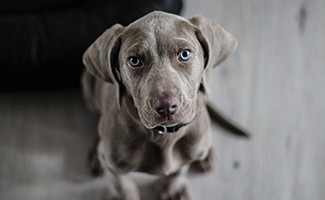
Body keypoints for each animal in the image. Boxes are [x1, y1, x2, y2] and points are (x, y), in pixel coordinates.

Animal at [82, 10, 247, 200]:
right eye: (134, 61)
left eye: (185, 54)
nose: (167, 106)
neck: (164, 135)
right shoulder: (114, 166)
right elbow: (122, 185)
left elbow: (178, 171)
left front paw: (172, 191)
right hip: (87, 84)